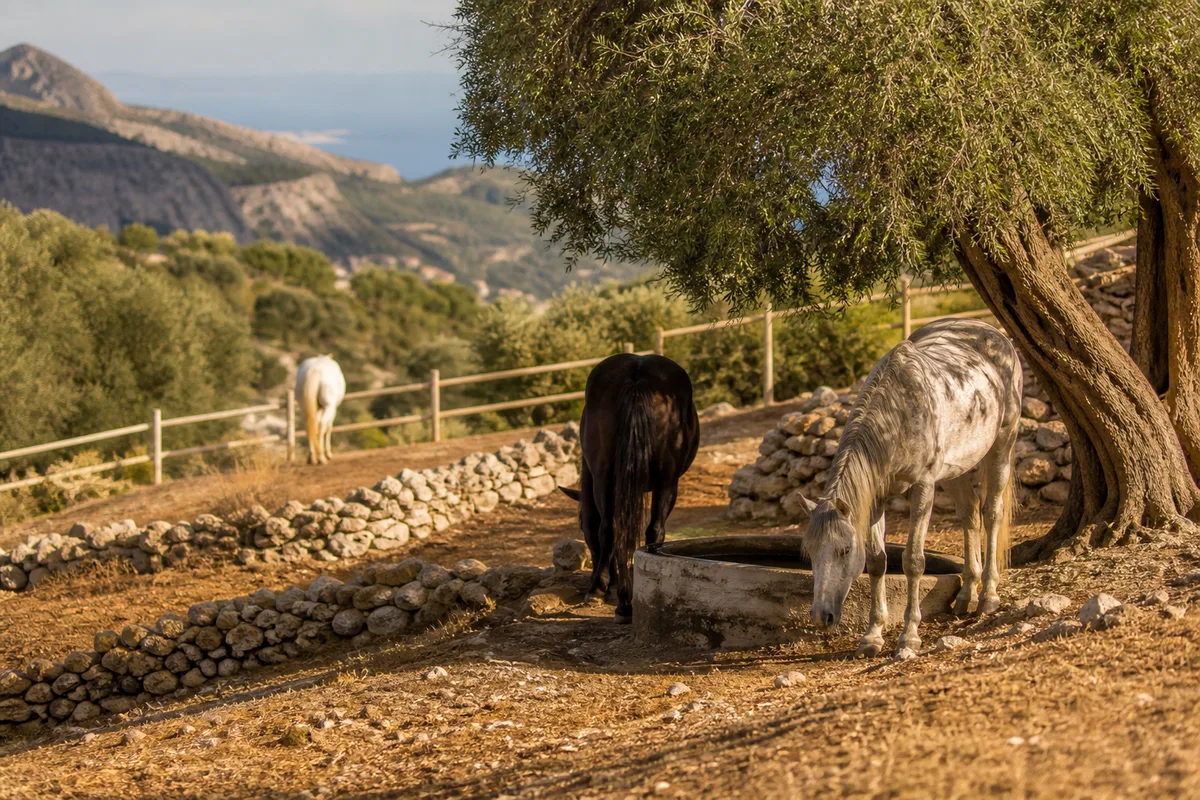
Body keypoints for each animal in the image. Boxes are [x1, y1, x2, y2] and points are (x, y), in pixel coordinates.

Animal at [557, 353, 700, 623]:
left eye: (581, 528)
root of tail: (637, 373)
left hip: (609, 477)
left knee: (614, 529)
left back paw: (617, 597)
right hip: (665, 480)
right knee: (649, 531)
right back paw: (621, 598)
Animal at [797, 319, 1022, 657]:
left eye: (844, 549)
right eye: (809, 552)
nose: (821, 617)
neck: (898, 415)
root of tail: (989, 329)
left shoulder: (923, 487)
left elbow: (913, 561)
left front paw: (909, 636)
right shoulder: (875, 498)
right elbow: (877, 562)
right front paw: (872, 636)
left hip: (1002, 446)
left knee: (992, 513)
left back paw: (988, 597)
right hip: (955, 470)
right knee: (970, 516)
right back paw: (967, 594)